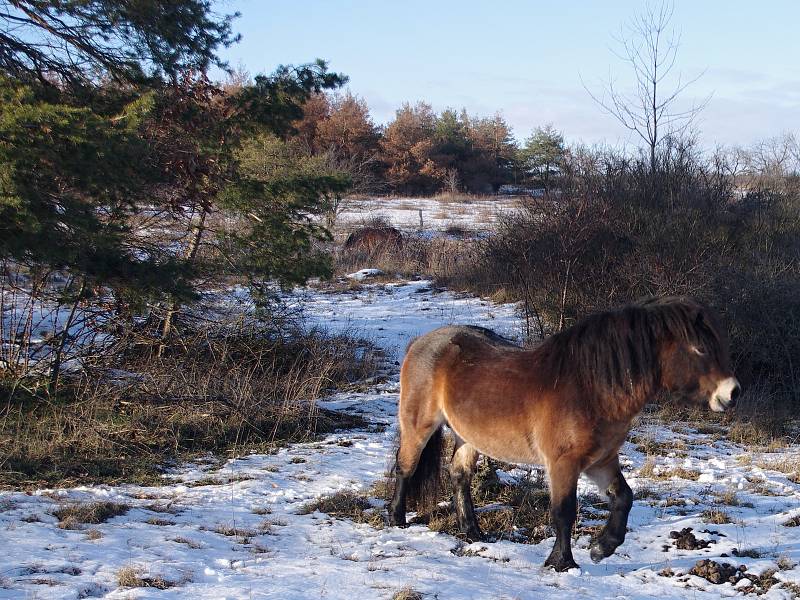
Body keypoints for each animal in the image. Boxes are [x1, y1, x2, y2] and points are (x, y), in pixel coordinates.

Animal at [388, 298, 736, 568]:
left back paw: (473, 532)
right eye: (700, 348)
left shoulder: (601, 460)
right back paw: (397, 519)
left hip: (468, 436)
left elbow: (624, 497)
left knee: (459, 475)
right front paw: (561, 562)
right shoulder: (563, 463)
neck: (589, 389)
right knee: (406, 467)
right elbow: (564, 511)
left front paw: (601, 548)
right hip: (418, 425)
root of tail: (421, 342)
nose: (732, 393)